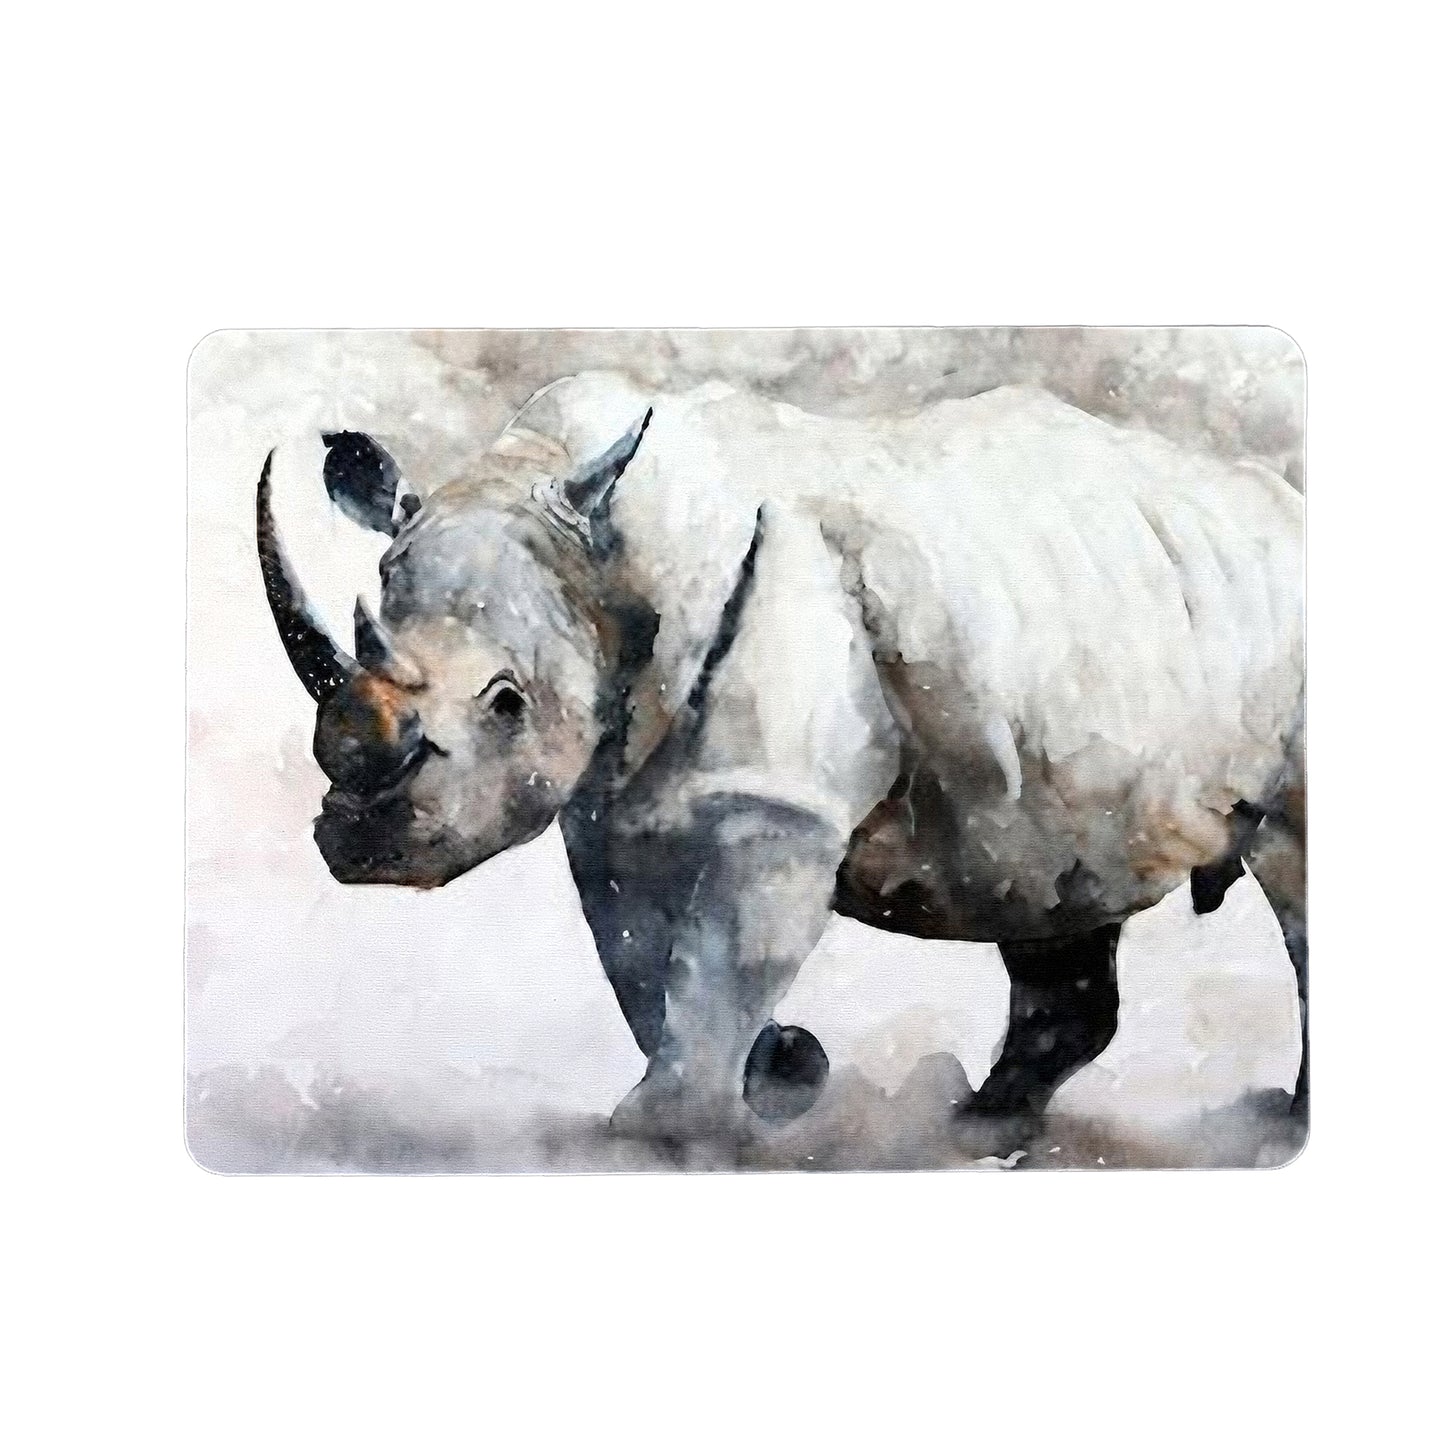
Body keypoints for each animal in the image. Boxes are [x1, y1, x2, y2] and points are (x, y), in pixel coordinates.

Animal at [256, 371, 1306, 1149]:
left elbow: (722, 954)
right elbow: (640, 959)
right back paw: (976, 1126)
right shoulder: (608, 803)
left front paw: (669, 1129)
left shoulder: (772, 803)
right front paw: (777, 1073)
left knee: (1292, 870)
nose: (362, 845)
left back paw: (1279, 1124)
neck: (602, 553)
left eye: (507, 702)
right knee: (1046, 868)